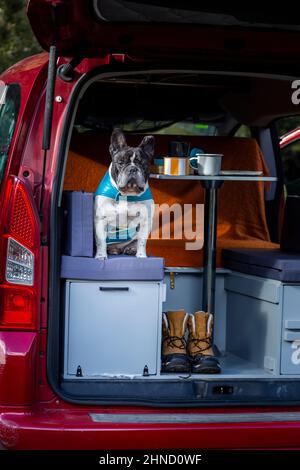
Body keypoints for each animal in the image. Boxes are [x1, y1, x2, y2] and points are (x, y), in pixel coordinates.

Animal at [94, 129, 155, 258]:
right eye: (121, 162)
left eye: (142, 164)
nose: (132, 169)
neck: (127, 194)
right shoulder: (100, 219)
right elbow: (101, 241)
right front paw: (101, 256)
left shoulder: (145, 221)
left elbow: (142, 241)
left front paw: (141, 256)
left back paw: (130, 249)